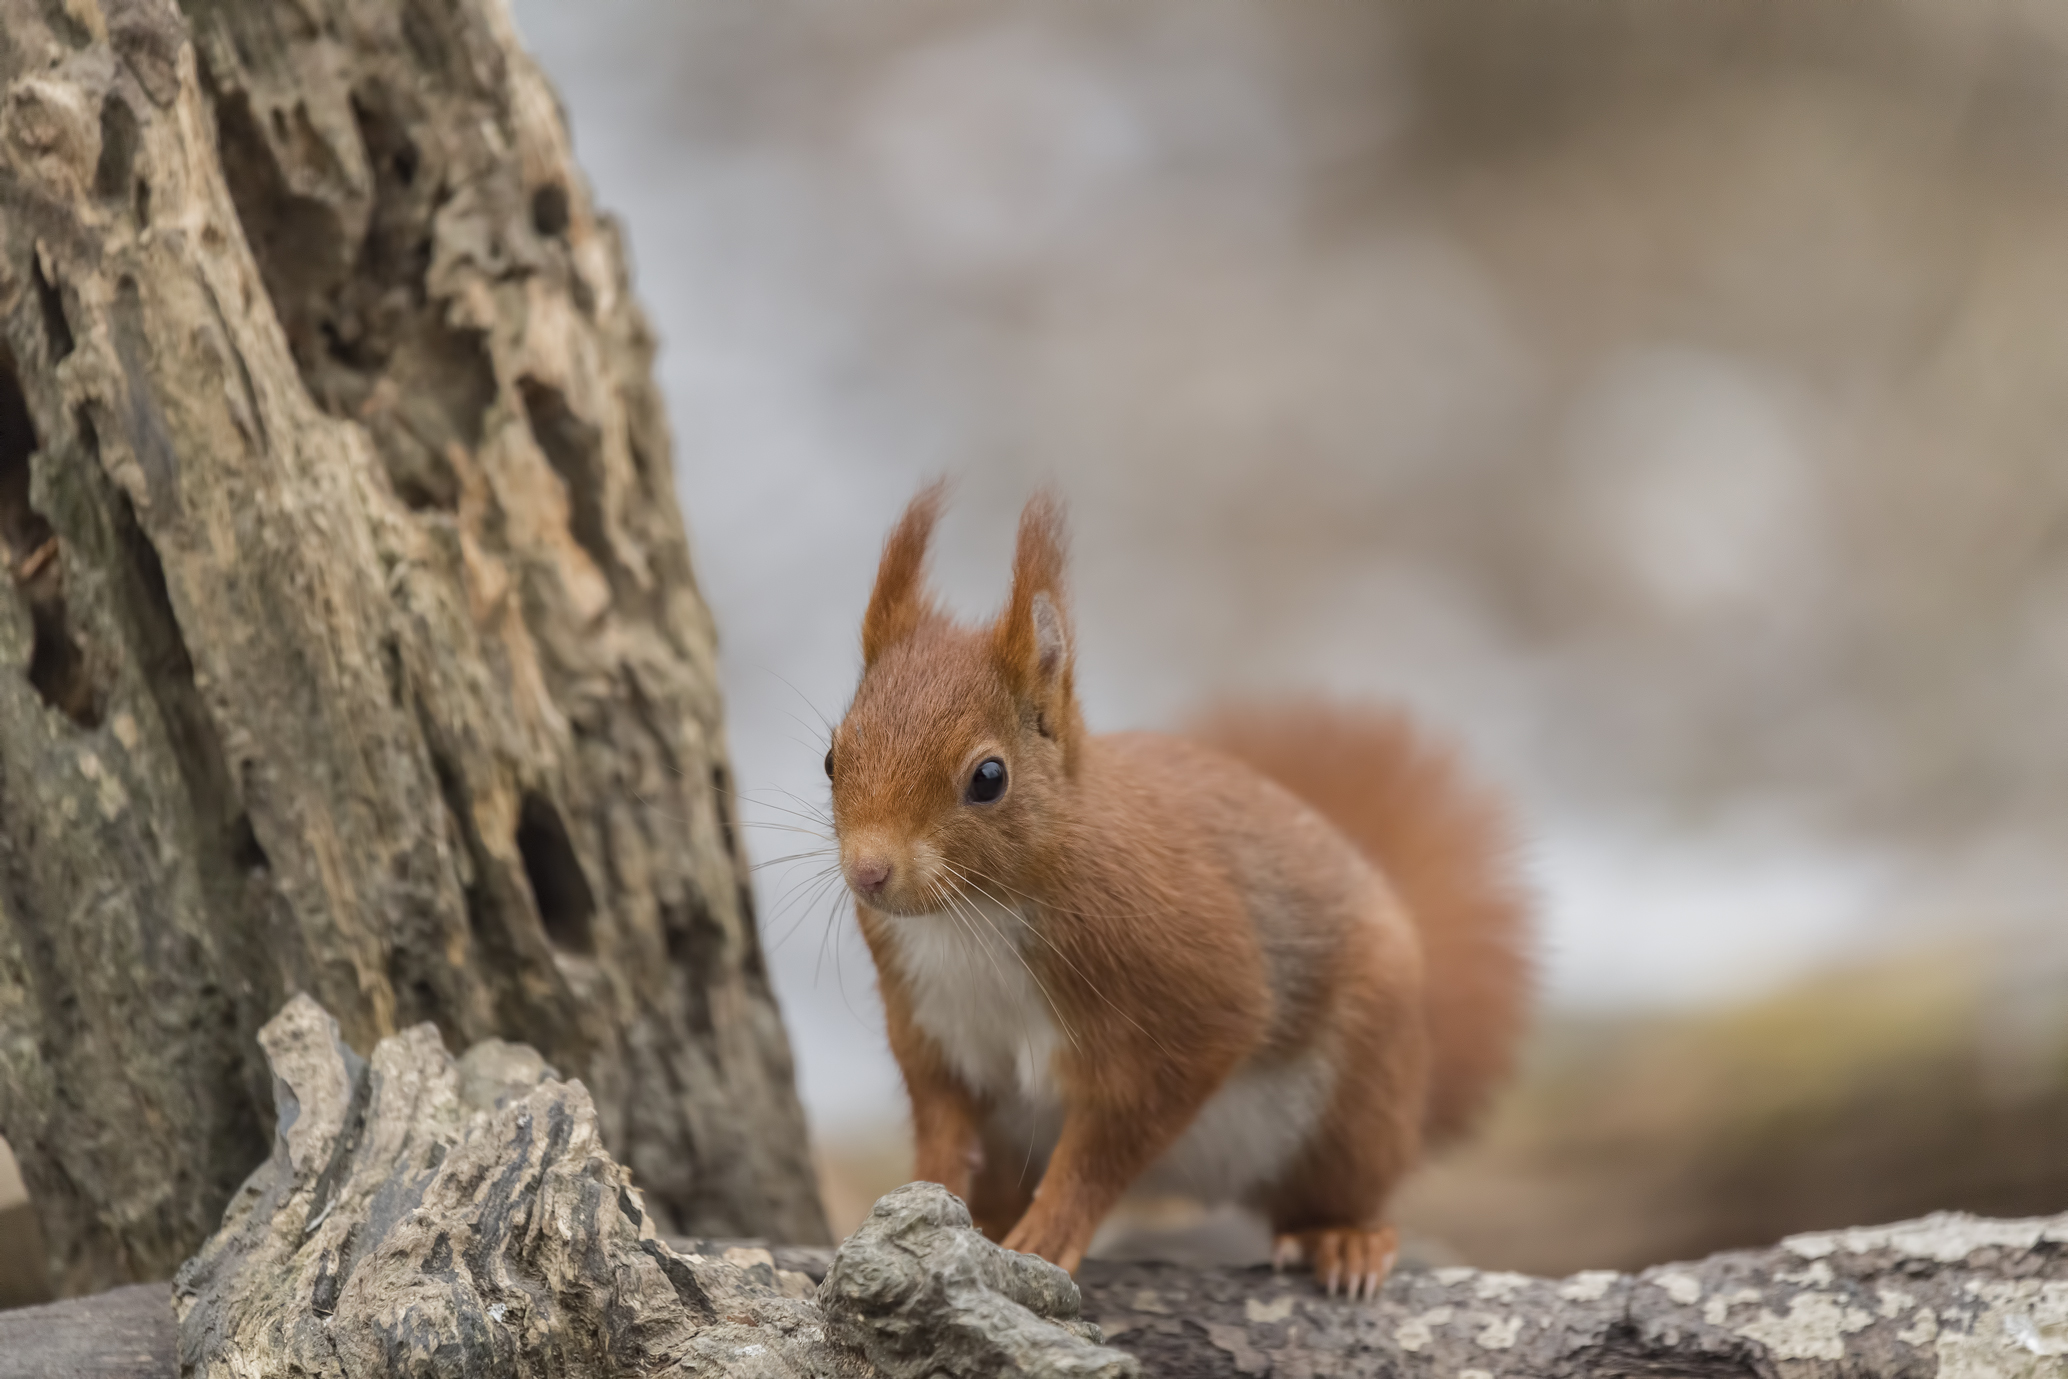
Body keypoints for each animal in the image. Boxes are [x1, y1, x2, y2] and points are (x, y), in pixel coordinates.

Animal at [824, 484, 1531, 1297]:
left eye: (988, 777)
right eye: (831, 756)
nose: (869, 871)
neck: (973, 917)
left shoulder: (1184, 994)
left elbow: (1113, 1141)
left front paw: (1050, 1231)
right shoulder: (930, 1028)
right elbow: (941, 1127)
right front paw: (917, 1200)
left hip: (1357, 1095)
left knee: (1346, 1184)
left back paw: (1346, 1239)